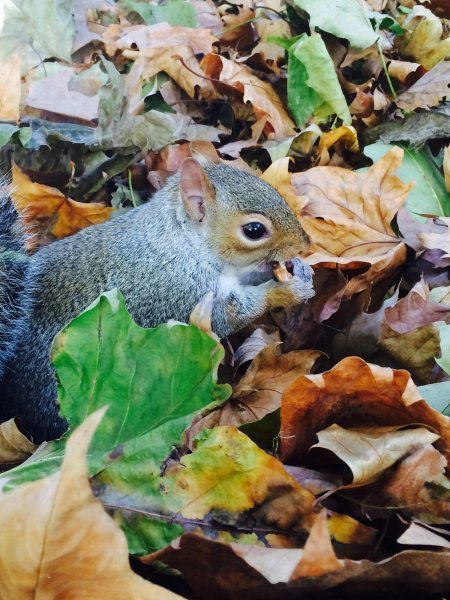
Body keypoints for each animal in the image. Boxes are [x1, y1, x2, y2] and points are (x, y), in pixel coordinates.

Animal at [0, 148, 312, 442]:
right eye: (254, 230)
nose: (305, 244)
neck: (181, 241)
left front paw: (300, 270)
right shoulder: (180, 289)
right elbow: (230, 314)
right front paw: (285, 291)